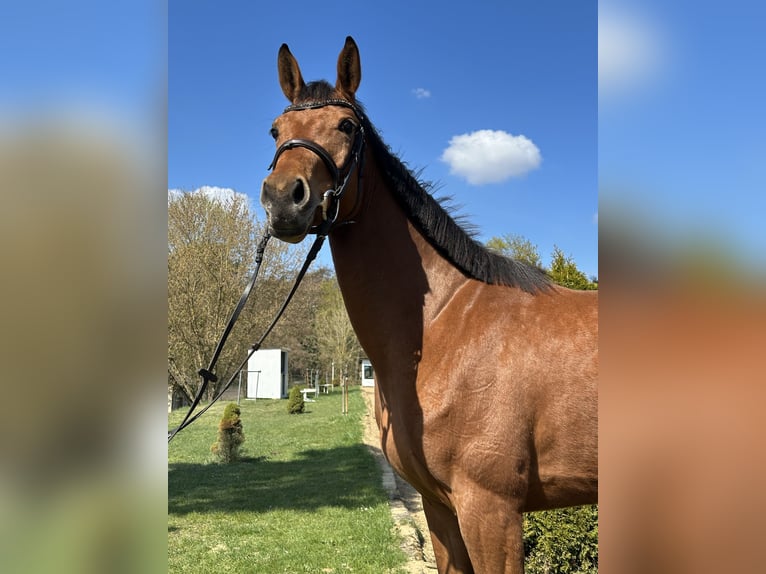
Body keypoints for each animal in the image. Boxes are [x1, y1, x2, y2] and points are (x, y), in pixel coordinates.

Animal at [261, 36, 597, 574]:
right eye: (275, 130)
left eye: (347, 126)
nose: (282, 199)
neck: (444, 326)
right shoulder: (439, 509)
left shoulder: (491, 512)